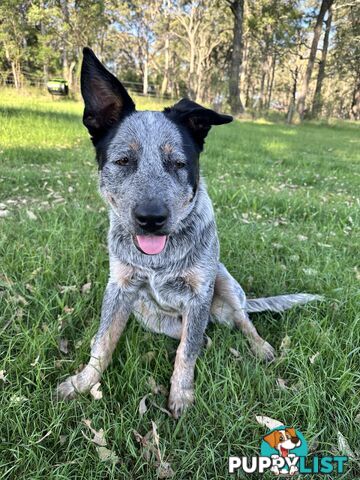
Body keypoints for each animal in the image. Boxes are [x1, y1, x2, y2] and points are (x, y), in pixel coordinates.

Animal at [56, 47, 320, 418]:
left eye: (179, 163)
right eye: (123, 161)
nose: (151, 218)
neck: (158, 261)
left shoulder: (198, 295)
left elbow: (186, 353)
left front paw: (181, 396)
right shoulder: (120, 288)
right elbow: (103, 341)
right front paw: (82, 382)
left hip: (224, 282)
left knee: (241, 320)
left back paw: (259, 346)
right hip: (147, 314)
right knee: (197, 334)